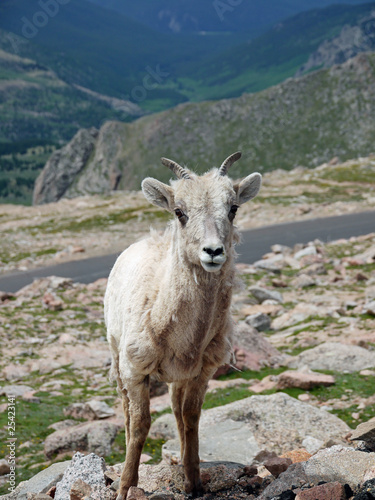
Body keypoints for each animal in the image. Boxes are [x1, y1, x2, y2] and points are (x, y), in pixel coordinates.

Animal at [103, 153, 262, 500]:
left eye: (233, 209)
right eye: (179, 212)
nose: (213, 252)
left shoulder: (203, 371)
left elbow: (191, 417)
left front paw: (194, 482)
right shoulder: (135, 370)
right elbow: (140, 424)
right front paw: (126, 487)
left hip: (178, 376)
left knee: (176, 410)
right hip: (116, 355)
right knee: (126, 411)